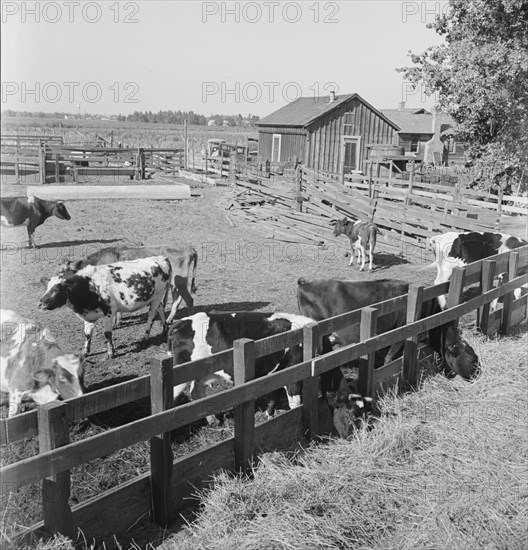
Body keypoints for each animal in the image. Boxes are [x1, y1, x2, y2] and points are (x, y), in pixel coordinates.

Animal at [39, 256, 171, 360]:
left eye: (56, 289)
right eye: (46, 288)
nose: (40, 303)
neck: (89, 286)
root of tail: (161, 258)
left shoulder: (109, 312)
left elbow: (107, 334)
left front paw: (110, 353)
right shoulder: (88, 314)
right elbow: (87, 334)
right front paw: (85, 352)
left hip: (157, 296)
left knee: (151, 317)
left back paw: (145, 339)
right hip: (154, 298)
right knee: (161, 308)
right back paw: (165, 329)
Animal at [54, 244, 198, 326]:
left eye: (62, 272)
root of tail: (188, 248)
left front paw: (116, 322)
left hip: (179, 282)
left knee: (189, 300)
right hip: (176, 284)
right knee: (177, 299)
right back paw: (169, 319)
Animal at [169, 310, 318, 422]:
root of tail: (183, 322)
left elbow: (275, 394)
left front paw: (269, 414)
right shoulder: (294, 372)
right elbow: (292, 400)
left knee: (196, 393)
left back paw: (213, 420)